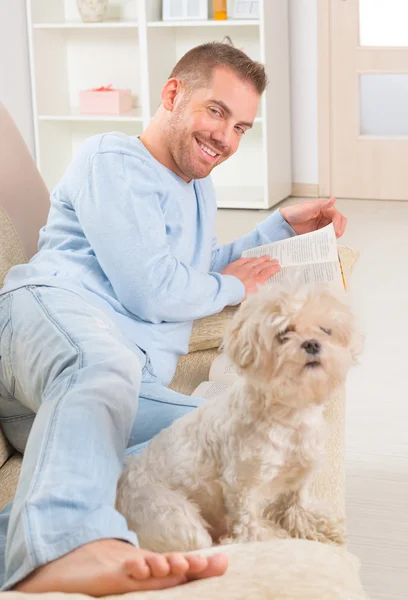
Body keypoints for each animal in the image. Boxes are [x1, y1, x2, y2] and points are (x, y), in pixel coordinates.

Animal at [116, 282, 362, 552]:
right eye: (283, 333)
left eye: (326, 329)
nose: (312, 344)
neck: (289, 415)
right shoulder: (241, 484)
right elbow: (248, 524)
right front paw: (267, 538)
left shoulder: (301, 471)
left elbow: (296, 502)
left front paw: (316, 527)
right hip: (175, 516)